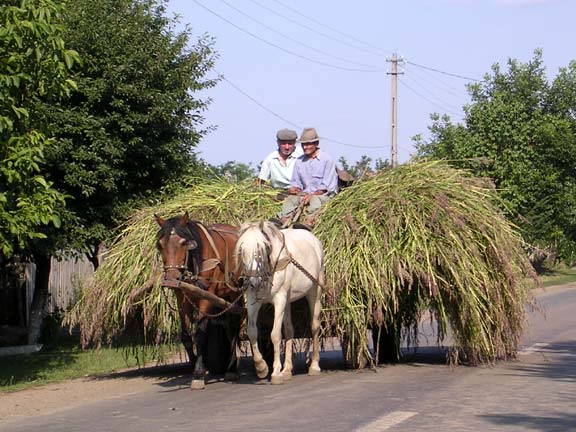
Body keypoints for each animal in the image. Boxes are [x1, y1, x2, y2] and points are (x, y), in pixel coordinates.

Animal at [154, 213, 242, 388]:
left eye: (183, 243)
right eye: (160, 245)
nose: (171, 279)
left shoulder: (206, 296)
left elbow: (200, 334)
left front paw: (199, 373)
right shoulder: (182, 297)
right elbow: (186, 336)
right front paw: (194, 365)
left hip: (235, 292)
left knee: (235, 325)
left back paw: (232, 368)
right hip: (223, 296)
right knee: (229, 327)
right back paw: (230, 368)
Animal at [235, 221, 324, 384]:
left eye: (263, 248)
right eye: (241, 250)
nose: (253, 282)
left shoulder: (279, 299)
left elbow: (275, 335)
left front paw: (276, 372)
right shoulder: (252, 301)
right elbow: (252, 332)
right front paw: (261, 367)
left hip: (315, 290)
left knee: (314, 326)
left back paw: (314, 366)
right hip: (288, 301)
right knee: (289, 331)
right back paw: (287, 369)